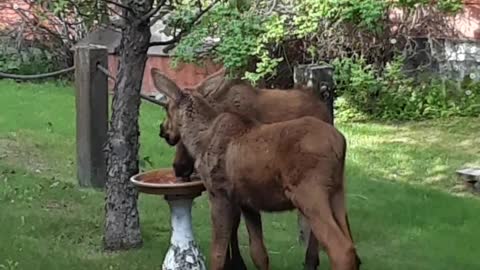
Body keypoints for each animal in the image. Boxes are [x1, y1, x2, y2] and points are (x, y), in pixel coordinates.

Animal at [154, 70, 360, 270]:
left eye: (166, 108)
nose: (163, 130)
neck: (198, 140)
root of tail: (341, 143)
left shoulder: (219, 194)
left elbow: (218, 254)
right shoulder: (248, 203)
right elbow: (259, 254)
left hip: (310, 193)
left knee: (340, 249)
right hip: (337, 194)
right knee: (351, 245)